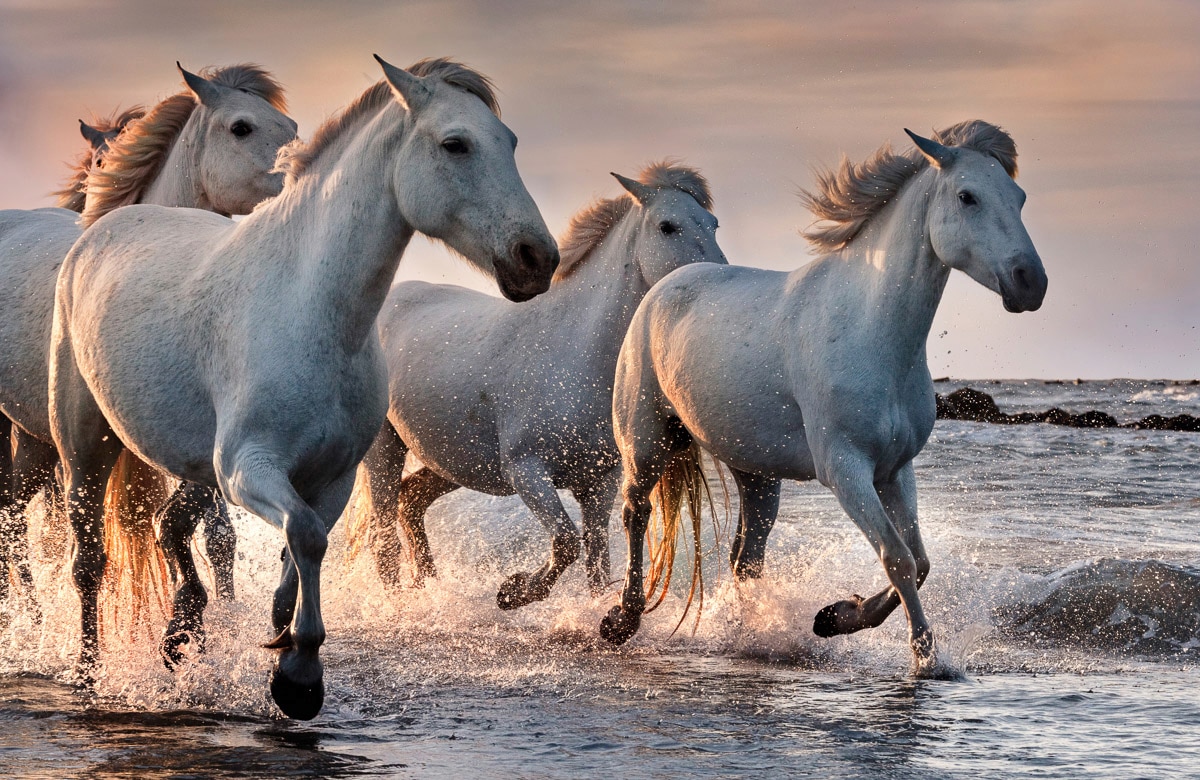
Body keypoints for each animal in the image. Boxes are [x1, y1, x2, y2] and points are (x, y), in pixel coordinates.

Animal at [51, 54, 561, 715]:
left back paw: (181, 636)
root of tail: (103, 227)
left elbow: (303, 542)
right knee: (89, 559)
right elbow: (306, 535)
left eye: (510, 141)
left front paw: (279, 630)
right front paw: (298, 673)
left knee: (172, 528)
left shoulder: (331, 476)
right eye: (456, 144)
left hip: (192, 465)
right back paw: (89, 672)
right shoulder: (250, 468)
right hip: (84, 448)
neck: (309, 312)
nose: (537, 259)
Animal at [355, 160, 724, 604]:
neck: (574, 353)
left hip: (449, 459)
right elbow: (565, 543)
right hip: (384, 450)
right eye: (668, 226)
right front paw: (513, 592)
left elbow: (596, 561)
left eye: (713, 223)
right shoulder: (528, 473)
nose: (715, 277)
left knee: (410, 503)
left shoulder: (599, 484)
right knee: (383, 537)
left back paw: (428, 588)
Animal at [604, 118, 1046, 672]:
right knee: (635, 513)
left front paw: (835, 617)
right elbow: (898, 558)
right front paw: (924, 657)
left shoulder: (894, 470)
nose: (1031, 283)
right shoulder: (846, 469)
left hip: (756, 472)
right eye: (968, 196)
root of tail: (664, 287)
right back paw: (621, 619)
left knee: (745, 556)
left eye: (1020, 196)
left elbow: (920, 562)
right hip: (646, 443)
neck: (871, 331)